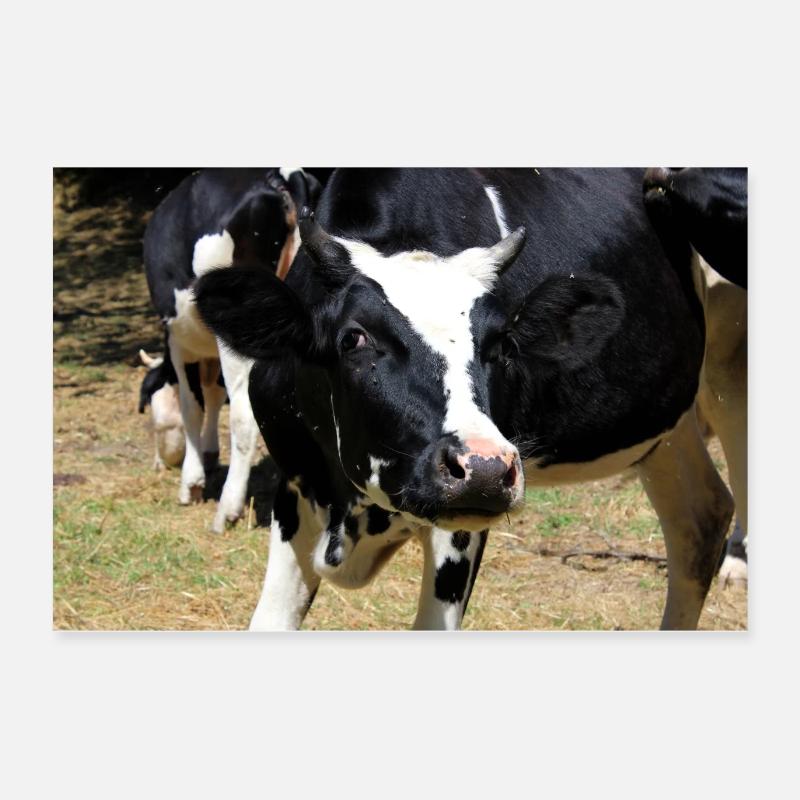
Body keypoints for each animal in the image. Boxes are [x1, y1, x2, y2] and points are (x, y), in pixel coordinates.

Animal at [143, 167, 322, 532]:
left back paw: (228, 508)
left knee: (243, 416)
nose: (160, 463)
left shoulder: (181, 342)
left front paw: (192, 482)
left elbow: (192, 406)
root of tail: (277, 177)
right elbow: (214, 395)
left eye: (154, 419)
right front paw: (210, 454)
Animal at [195, 168, 745, 630]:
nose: (483, 468)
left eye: (503, 344)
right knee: (700, 518)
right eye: (354, 338)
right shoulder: (296, 487)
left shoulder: (458, 532)